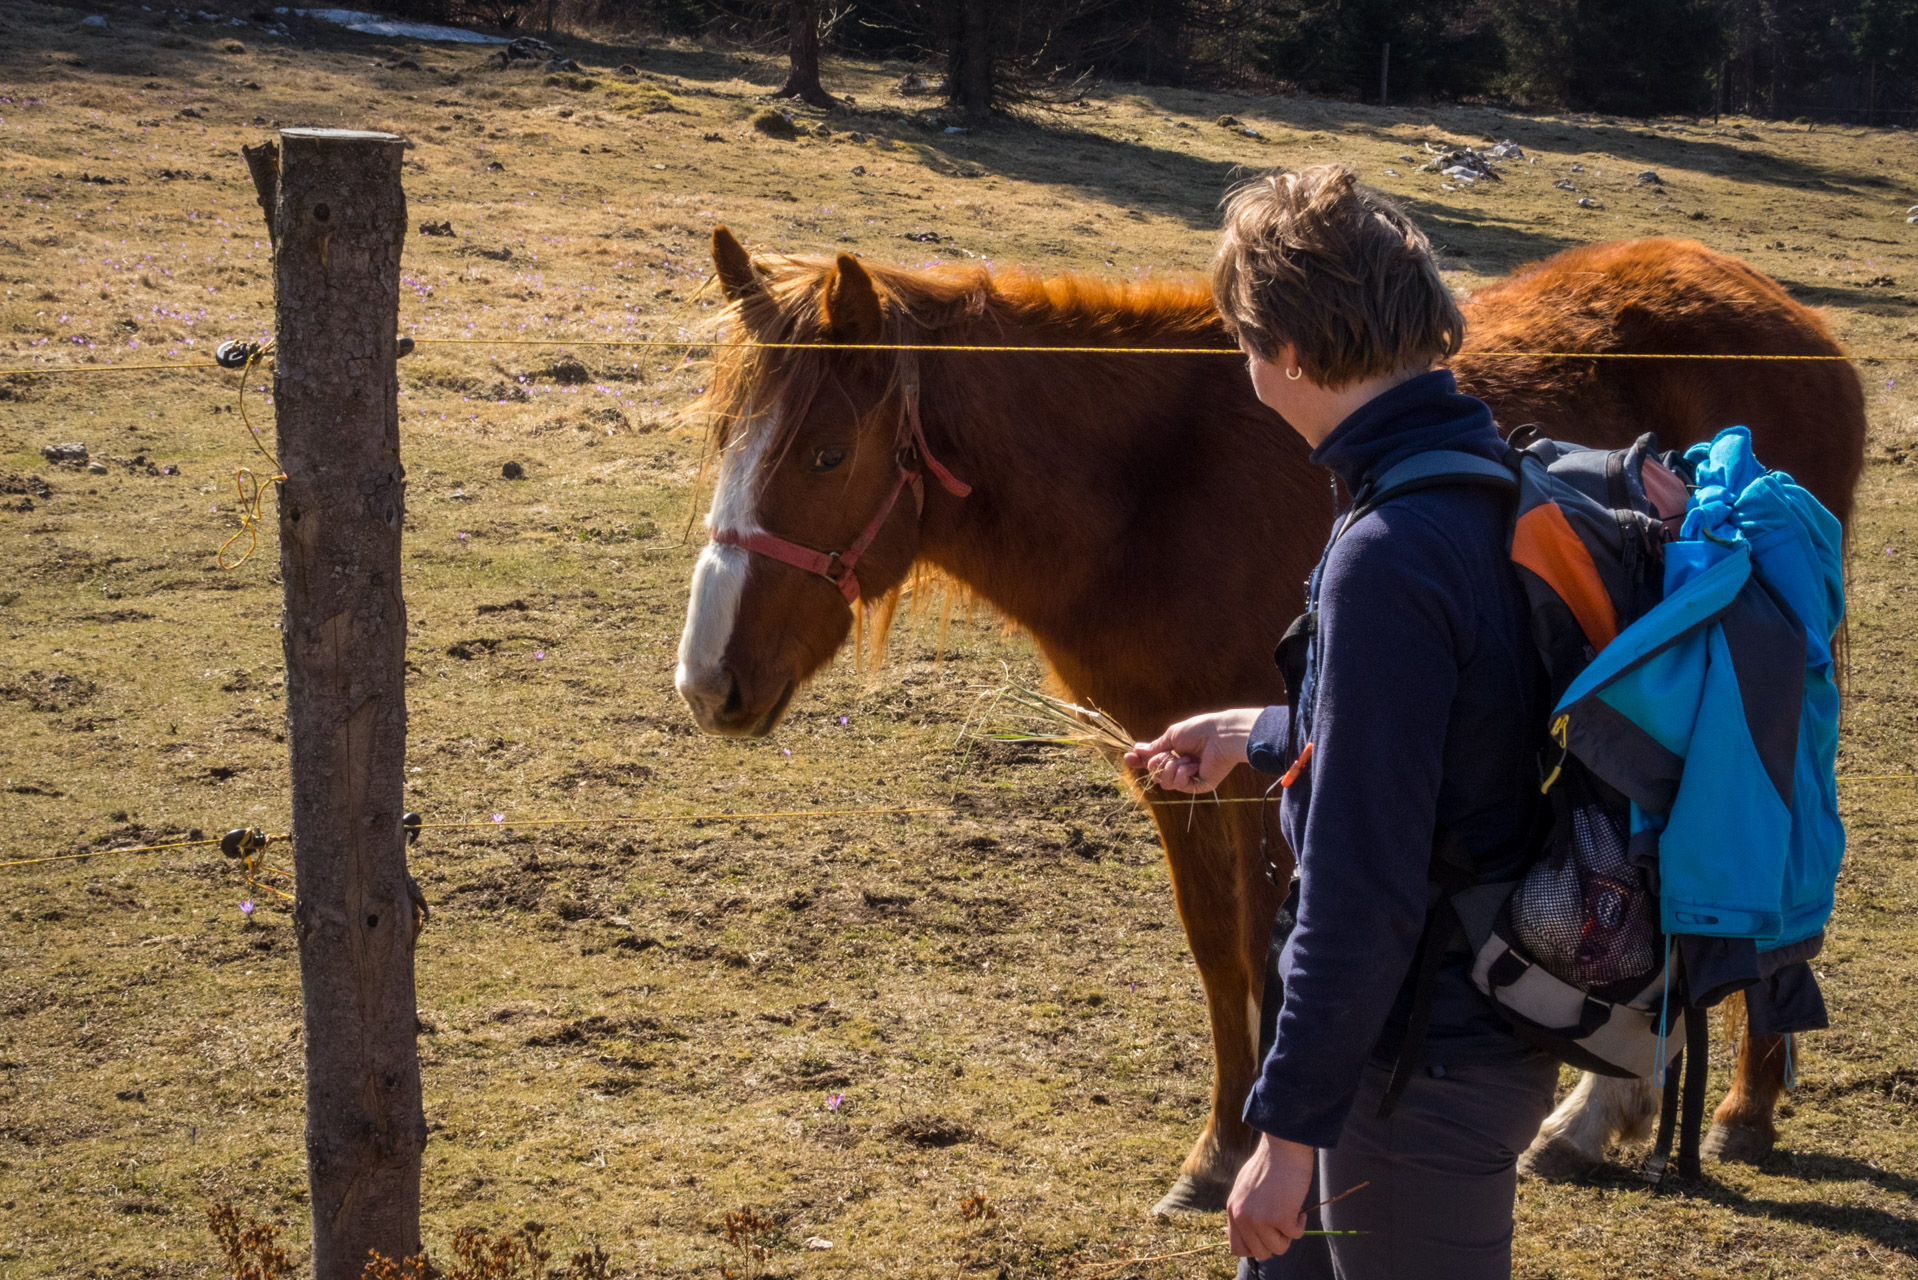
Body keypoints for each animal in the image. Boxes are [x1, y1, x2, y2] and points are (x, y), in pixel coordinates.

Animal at [675, 230, 1856, 1212]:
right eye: (725, 438)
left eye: (826, 454)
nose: (706, 682)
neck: (1154, 490)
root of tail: (1800, 326)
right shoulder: (1176, 760)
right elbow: (1217, 954)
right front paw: (1214, 1150)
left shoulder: (1280, 778)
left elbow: (1267, 948)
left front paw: (1249, 1146)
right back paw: (1611, 1115)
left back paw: (1721, 1108)